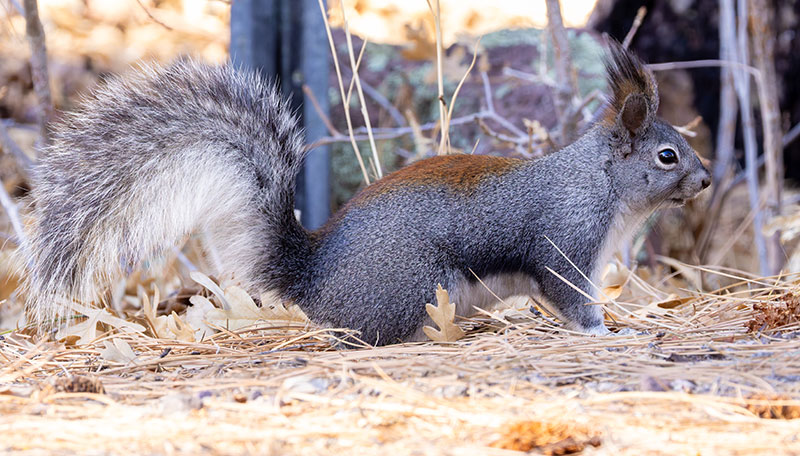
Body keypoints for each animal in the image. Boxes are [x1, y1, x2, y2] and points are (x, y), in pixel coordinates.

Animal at [24, 41, 710, 345]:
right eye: (667, 155)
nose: (706, 180)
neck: (603, 187)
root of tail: (313, 278)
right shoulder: (566, 244)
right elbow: (571, 298)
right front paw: (608, 332)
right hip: (413, 285)